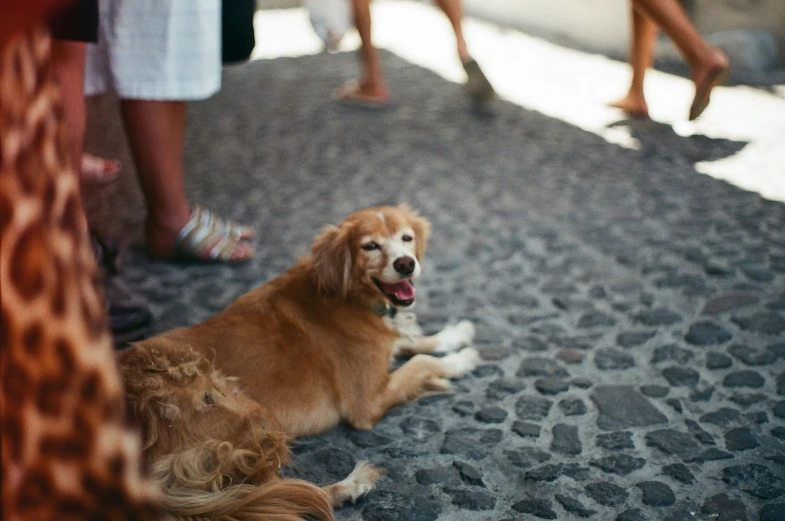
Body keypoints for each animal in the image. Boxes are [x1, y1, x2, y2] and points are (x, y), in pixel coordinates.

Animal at [136, 203, 478, 434]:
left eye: (406, 238)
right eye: (370, 246)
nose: (406, 264)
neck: (350, 296)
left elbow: (415, 342)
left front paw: (456, 334)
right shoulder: (367, 402)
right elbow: (421, 362)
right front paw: (461, 361)